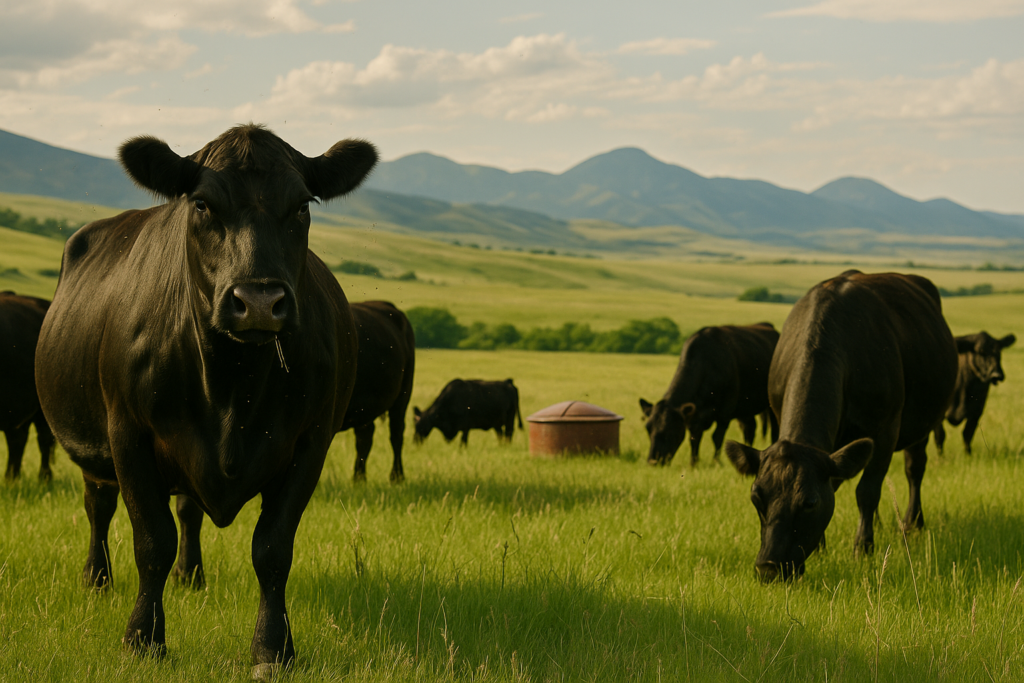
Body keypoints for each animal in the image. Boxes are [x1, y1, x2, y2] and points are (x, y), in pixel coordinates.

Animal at [34, 124, 376, 675]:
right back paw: (97, 579)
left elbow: (272, 548)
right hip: (94, 446)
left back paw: (190, 576)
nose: (258, 301)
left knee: (188, 511)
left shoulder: (312, 442)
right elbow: (152, 540)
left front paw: (272, 648)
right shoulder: (127, 434)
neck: (232, 384)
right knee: (98, 506)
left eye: (302, 205)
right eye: (202, 204)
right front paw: (143, 639)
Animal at [344, 301, 416, 482]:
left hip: (402, 398)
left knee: (396, 435)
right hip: (365, 407)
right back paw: (359, 478)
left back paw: (397, 476)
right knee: (365, 437)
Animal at [639, 323, 779, 467]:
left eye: (671, 430)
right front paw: (693, 464)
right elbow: (694, 437)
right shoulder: (694, 416)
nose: (653, 461)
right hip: (745, 407)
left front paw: (716, 462)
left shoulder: (725, 411)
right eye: (648, 429)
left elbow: (717, 437)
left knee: (774, 430)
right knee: (749, 428)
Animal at [725, 271, 957, 582]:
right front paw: (822, 548)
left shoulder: (885, 430)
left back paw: (912, 524)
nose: (769, 568)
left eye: (809, 503)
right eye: (756, 497)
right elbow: (838, 486)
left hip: (922, 422)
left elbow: (867, 491)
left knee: (914, 468)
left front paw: (863, 548)